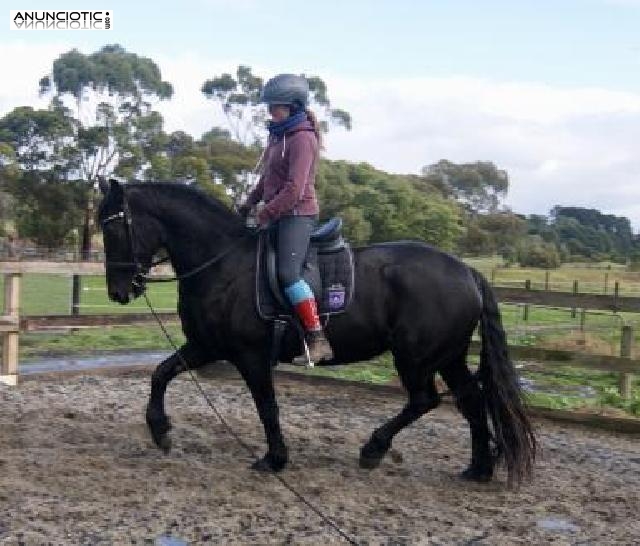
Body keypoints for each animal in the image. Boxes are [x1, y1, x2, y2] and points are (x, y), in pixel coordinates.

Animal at [97, 180, 536, 484]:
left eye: (113, 229)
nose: (118, 291)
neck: (222, 264)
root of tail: (466, 271)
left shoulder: (250, 356)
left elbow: (266, 406)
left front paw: (274, 459)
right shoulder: (206, 345)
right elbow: (160, 374)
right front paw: (160, 431)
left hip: (416, 357)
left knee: (424, 400)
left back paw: (374, 449)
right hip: (447, 356)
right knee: (471, 401)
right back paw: (478, 469)